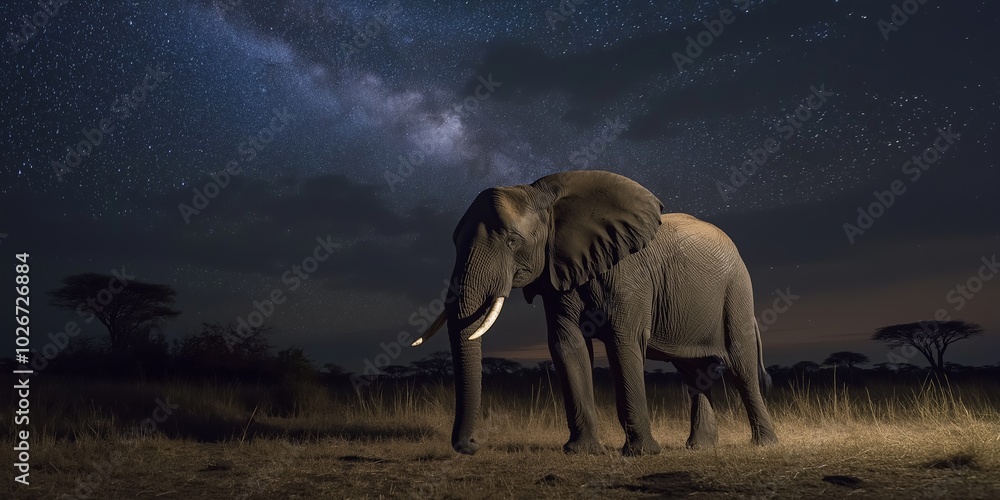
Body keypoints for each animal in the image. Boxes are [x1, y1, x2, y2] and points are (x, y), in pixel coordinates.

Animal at [411, 170, 778, 456]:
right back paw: (699, 448)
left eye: (513, 242)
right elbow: (567, 344)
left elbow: (623, 343)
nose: (472, 445)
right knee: (694, 373)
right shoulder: (557, 274)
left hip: (736, 291)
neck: (548, 198)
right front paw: (582, 451)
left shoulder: (629, 275)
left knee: (741, 366)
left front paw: (642, 453)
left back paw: (765, 444)